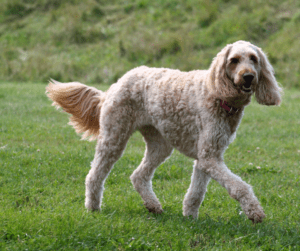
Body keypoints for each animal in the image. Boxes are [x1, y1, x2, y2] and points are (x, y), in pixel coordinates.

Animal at [46, 40, 282, 223]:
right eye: (234, 60)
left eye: (253, 59)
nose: (248, 76)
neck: (218, 95)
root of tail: (114, 86)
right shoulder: (209, 157)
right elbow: (239, 187)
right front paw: (254, 212)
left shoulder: (208, 156)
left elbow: (196, 191)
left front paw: (190, 215)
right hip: (114, 138)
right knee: (94, 175)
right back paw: (93, 207)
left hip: (160, 145)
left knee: (138, 176)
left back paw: (153, 205)